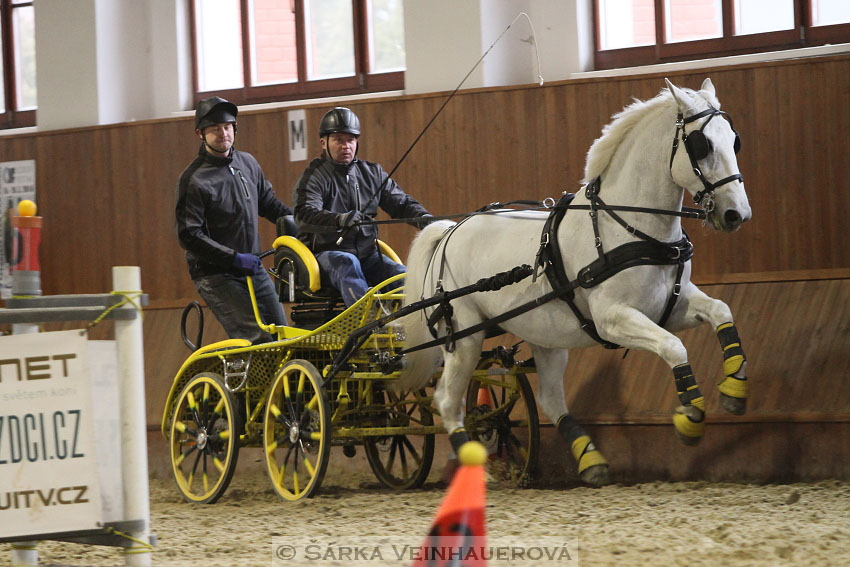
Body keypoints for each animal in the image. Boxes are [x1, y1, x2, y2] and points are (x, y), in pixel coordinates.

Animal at [398, 77, 748, 486]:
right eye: (701, 144)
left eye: (734, 141)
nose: (736, 214)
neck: (629, 227)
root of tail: (450, 230)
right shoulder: (613, 319)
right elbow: (674, 348)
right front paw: (691, 415)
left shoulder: (671, 305)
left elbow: (721, 311)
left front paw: (735, 389)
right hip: (465, 338)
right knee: (448, 402)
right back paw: (475, 470)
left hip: (545, 336)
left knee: (550, 398)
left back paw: (590, 460)